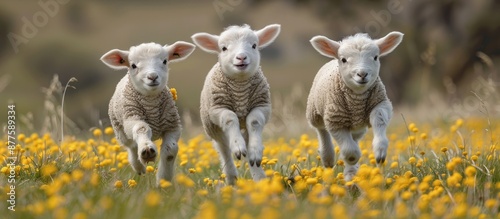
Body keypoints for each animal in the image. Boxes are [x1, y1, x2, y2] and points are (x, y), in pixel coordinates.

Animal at [99, 41, 195, 185]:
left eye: (165, 61)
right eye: (133, 65)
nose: (152, 77)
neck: (151, 105)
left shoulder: (172, 126)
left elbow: (171, 150)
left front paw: (163, 180)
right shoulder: (132, 117)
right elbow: (141, 128)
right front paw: (147, 150)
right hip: (120, 129)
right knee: (131, 146)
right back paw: (139, 167)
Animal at [191, 23, 282, 185]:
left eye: (254, 45)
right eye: (224, 48)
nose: (241, 57)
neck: (239, 87)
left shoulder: (262, 106)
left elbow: (254, 121)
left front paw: (255, 152)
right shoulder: (218, 108)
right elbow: (229, 118)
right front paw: (238, 146)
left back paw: (258, 175)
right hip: (215, 130)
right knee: (225, 151)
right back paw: (232, 177)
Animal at [306, 31, 404, 181]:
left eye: (375, 57)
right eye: (344, 60)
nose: (362, 74)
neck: (357, 101)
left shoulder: (380, 104)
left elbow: (378, 120)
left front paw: (380, 153)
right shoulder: (335, 119)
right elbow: (350, 152)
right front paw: (353, 159)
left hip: (358, 127)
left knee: (355, 138)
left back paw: (351, 174)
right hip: (315, 113)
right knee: (322, 132)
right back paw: (329, 161)